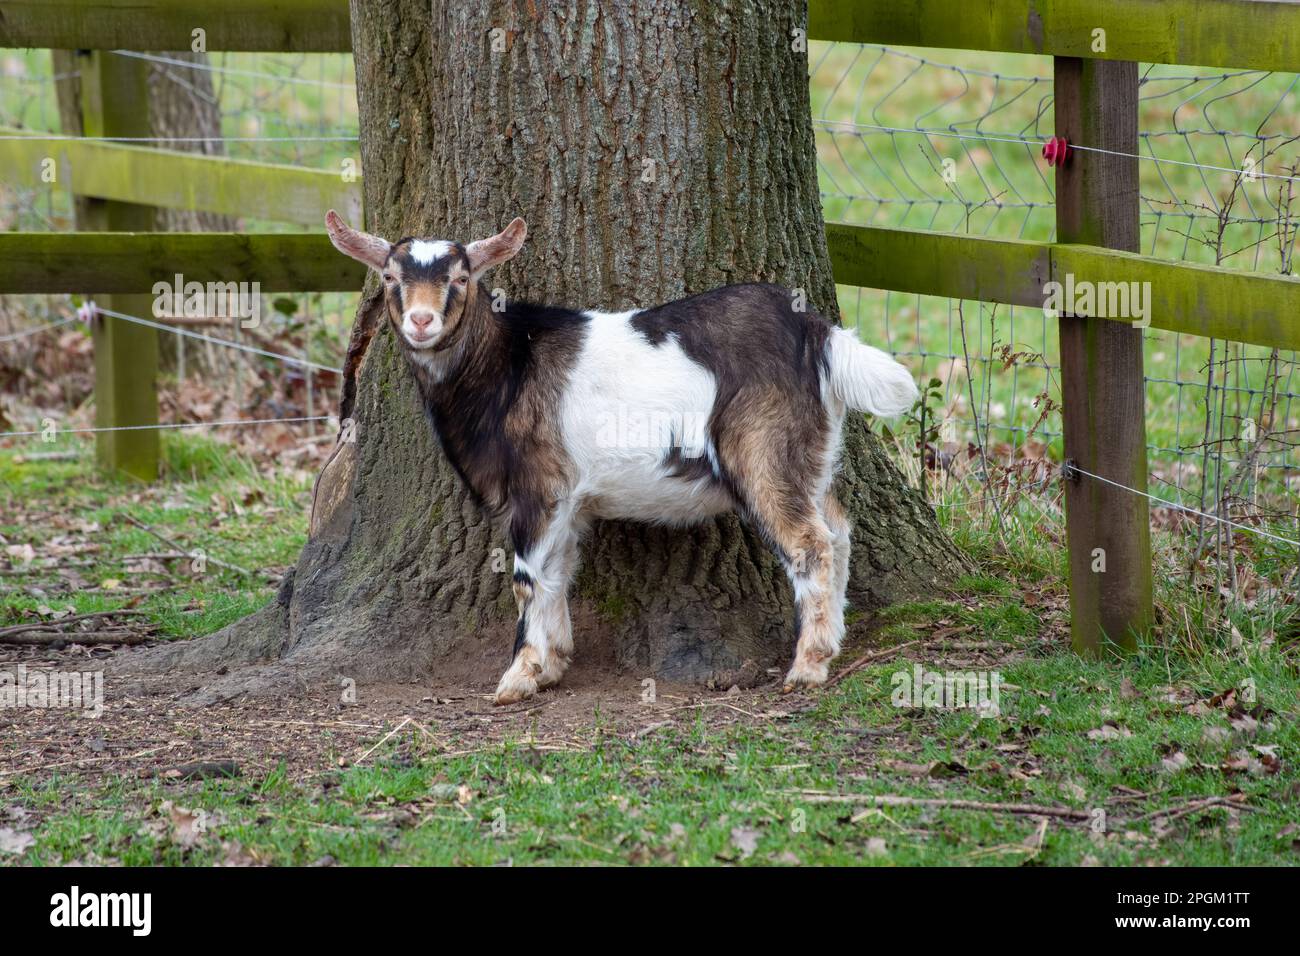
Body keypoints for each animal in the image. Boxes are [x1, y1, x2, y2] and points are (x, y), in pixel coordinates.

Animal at [323, 210, 915, 702]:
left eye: (460, 279)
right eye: (390, 278)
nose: (422, 321)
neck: (506, 366)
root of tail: (818, 333)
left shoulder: (539, 487)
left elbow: (527, 578)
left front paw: (517, 678)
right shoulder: (569, 502)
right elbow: (557, 572)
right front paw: (553, 664)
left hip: (764, 453)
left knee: (810, 543)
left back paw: (807, 667)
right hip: (811, 456)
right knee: (838, 528)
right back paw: (833, 642)